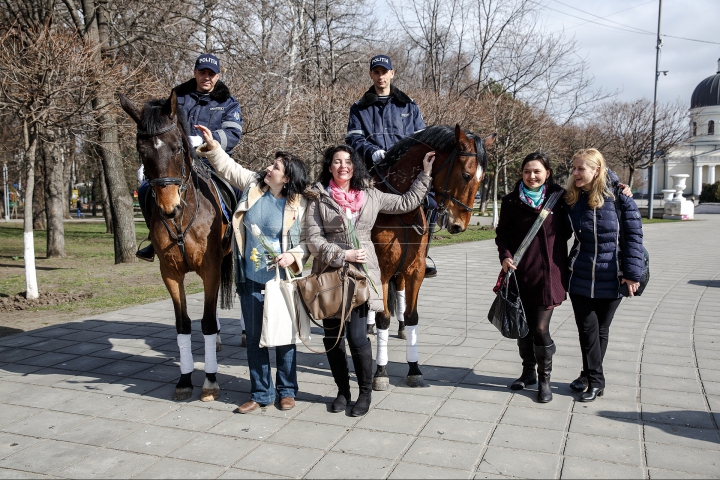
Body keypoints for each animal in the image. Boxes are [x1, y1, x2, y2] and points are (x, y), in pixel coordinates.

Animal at [116, 89, 232, 402]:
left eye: (177, 147)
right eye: (142, 151)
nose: (169, 207)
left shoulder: (211, 268)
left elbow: (206, 322)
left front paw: (210, 381)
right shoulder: (170, 272)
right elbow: (183, 324)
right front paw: (184, 379)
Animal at [372, 124, 496, 390]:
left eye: (482, 180)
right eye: (466, 175)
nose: (459, 225)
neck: (400, 207)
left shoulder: (415, 270)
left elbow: (412, 316)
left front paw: (414, 368)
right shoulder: (381, 273)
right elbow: (382, 318)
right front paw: (380, 371)